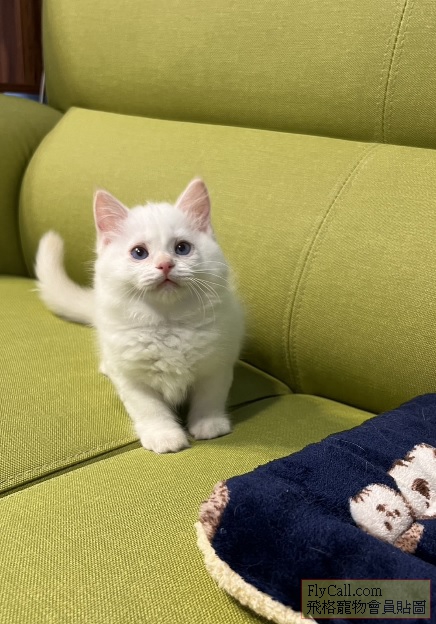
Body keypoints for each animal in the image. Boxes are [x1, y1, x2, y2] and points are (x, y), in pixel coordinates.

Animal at [35, 178, 244, 454]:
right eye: (139, 253)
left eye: (182, 248)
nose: (165, 264)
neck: (168, 323)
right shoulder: (132, 378)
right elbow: (149, 409)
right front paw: (164, 437)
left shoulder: (216, 364)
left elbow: (209, 397)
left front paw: (208, 425)